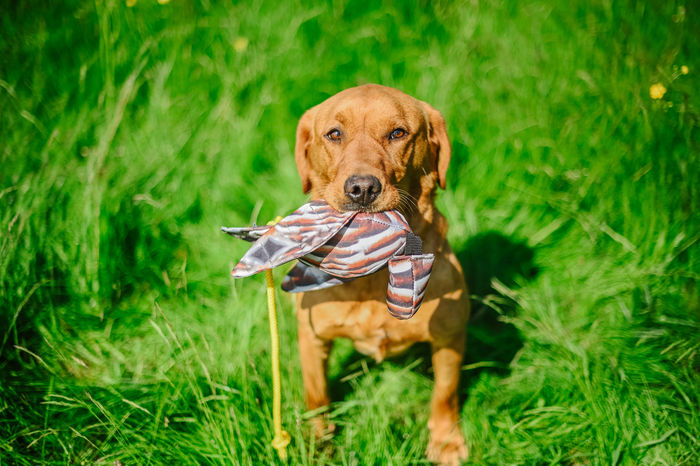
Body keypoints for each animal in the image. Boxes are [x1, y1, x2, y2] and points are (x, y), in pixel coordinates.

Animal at [292, 83, 468, 462]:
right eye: (334, 134)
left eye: (398, 133)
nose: (362, 188)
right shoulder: (312, 338)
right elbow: (317, 396)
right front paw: (317, 443)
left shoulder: (450, 337)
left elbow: (444, 395)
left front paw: (446, 442)